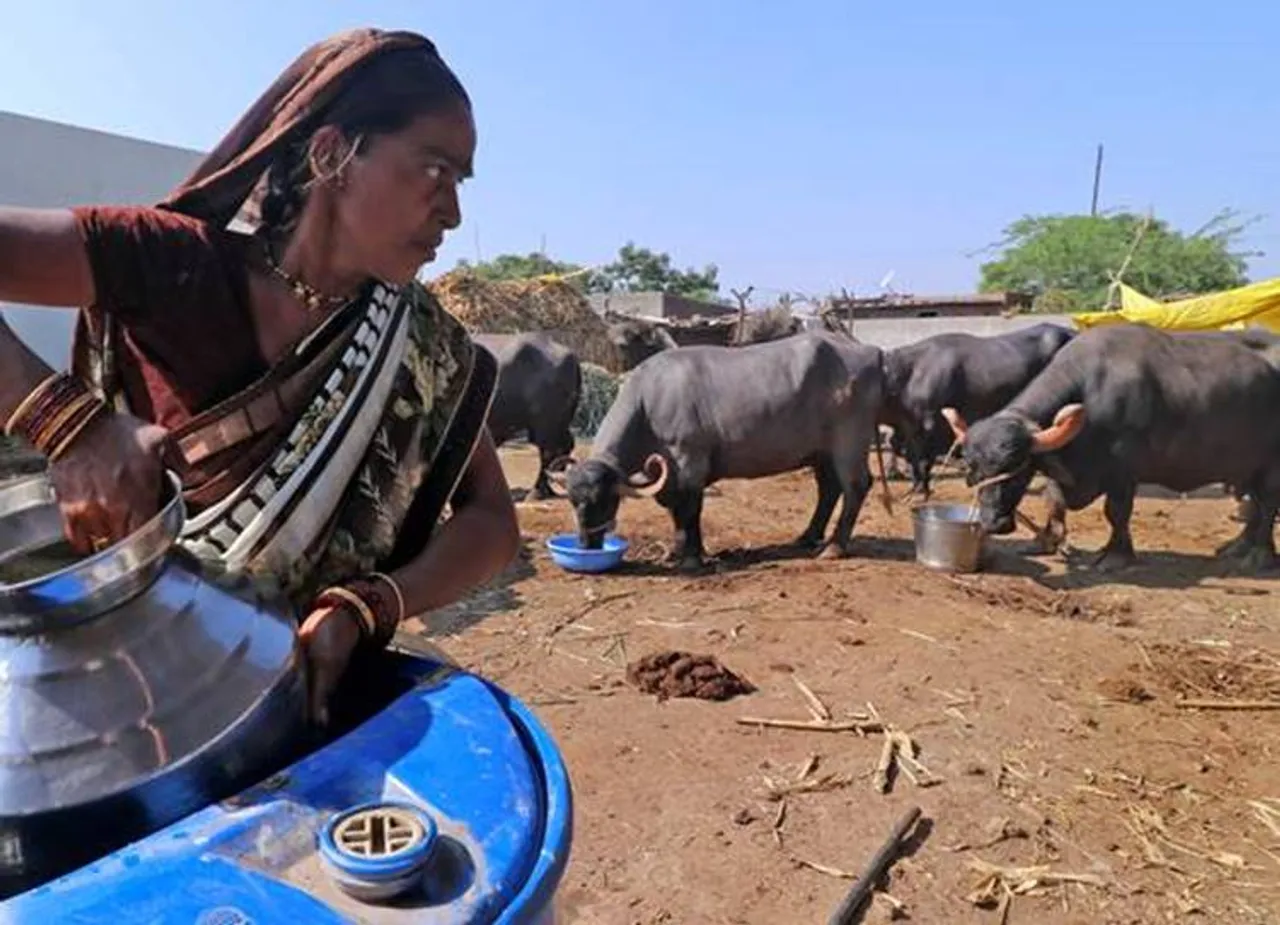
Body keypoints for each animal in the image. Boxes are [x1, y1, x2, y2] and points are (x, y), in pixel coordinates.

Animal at [478, 335, 583, 498]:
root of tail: (571, 357)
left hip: (545, 423)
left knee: (548, 451)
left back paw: (537, 491)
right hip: (559, 422)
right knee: (565, 445)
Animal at [550, 330, 890, 568]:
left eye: (606, 500)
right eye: (573, 501)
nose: (586, 544)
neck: (650, 401)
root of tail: (869, 351)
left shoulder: (690, 462)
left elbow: (690, 509)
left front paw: (691, 557)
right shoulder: (671, 474)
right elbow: (676, 512)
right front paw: (677, 551)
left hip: (849, 442)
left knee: (856, 485)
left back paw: (835, 547)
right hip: (822, 451)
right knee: (828, 489)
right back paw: (807, 537)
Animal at [875, 323, 1075, 498]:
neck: (908, 376)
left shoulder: (929, 427)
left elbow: (923, 460)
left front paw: (921, 490)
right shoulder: (909, 429)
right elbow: (912, 458)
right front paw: (914, 487)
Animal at [942, 323, 1280, 570]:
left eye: (1017, 467)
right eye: (971, 466)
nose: (992, 523)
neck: (1093, 392)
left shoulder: (1123, 472)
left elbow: (1116, 512)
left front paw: (1115, 556)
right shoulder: (1061, 467)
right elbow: (1054, 501)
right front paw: (1045, 542)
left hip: (1271, 465)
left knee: (1268, 504)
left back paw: (1259, 556)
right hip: (1250, 466)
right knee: (1256, 505)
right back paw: (1237, 547)